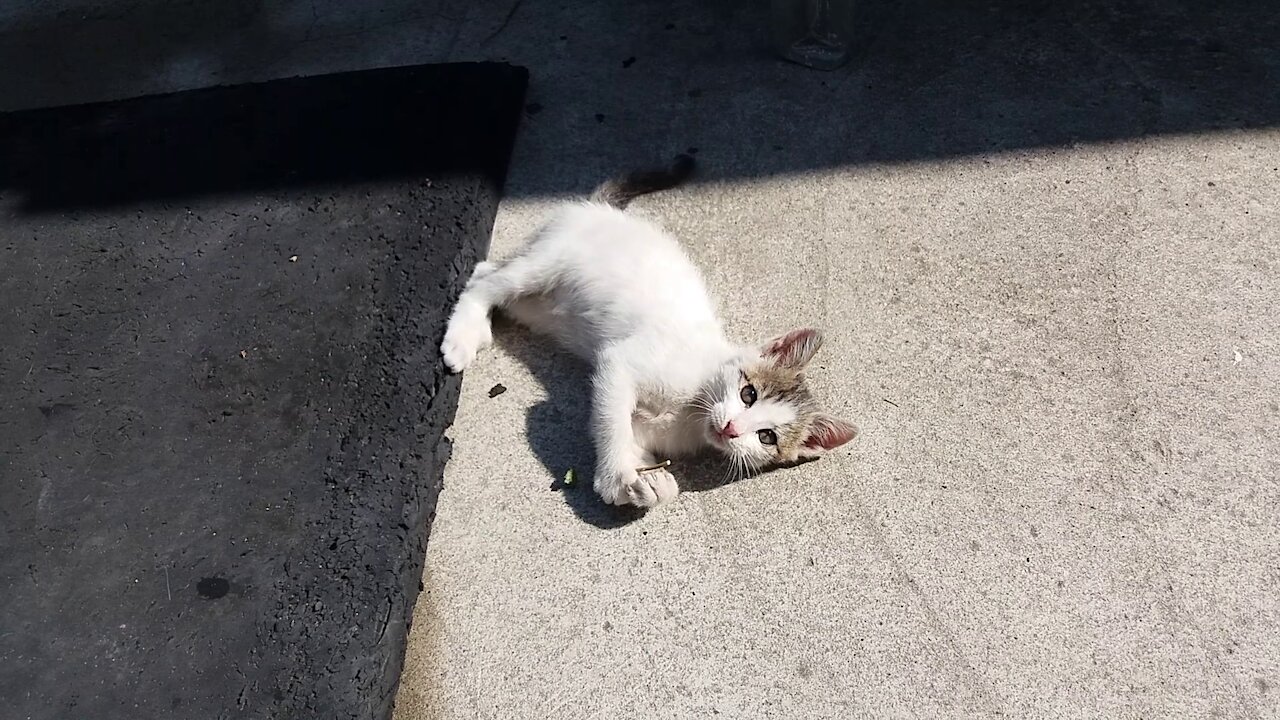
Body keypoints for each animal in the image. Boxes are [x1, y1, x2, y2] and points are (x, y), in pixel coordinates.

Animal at [442, 154, 860, 507]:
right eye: (748, 393)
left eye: (767, 437)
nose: (730, 429)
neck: (695, 407)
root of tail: (602, 209)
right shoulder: (621, 364)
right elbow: (612, 422)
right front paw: (616, 476)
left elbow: (621, 429)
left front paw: (647, 480)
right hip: (548, 262)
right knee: (484, 277)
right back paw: (462, 337)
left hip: (541, 307)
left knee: (488, 275)